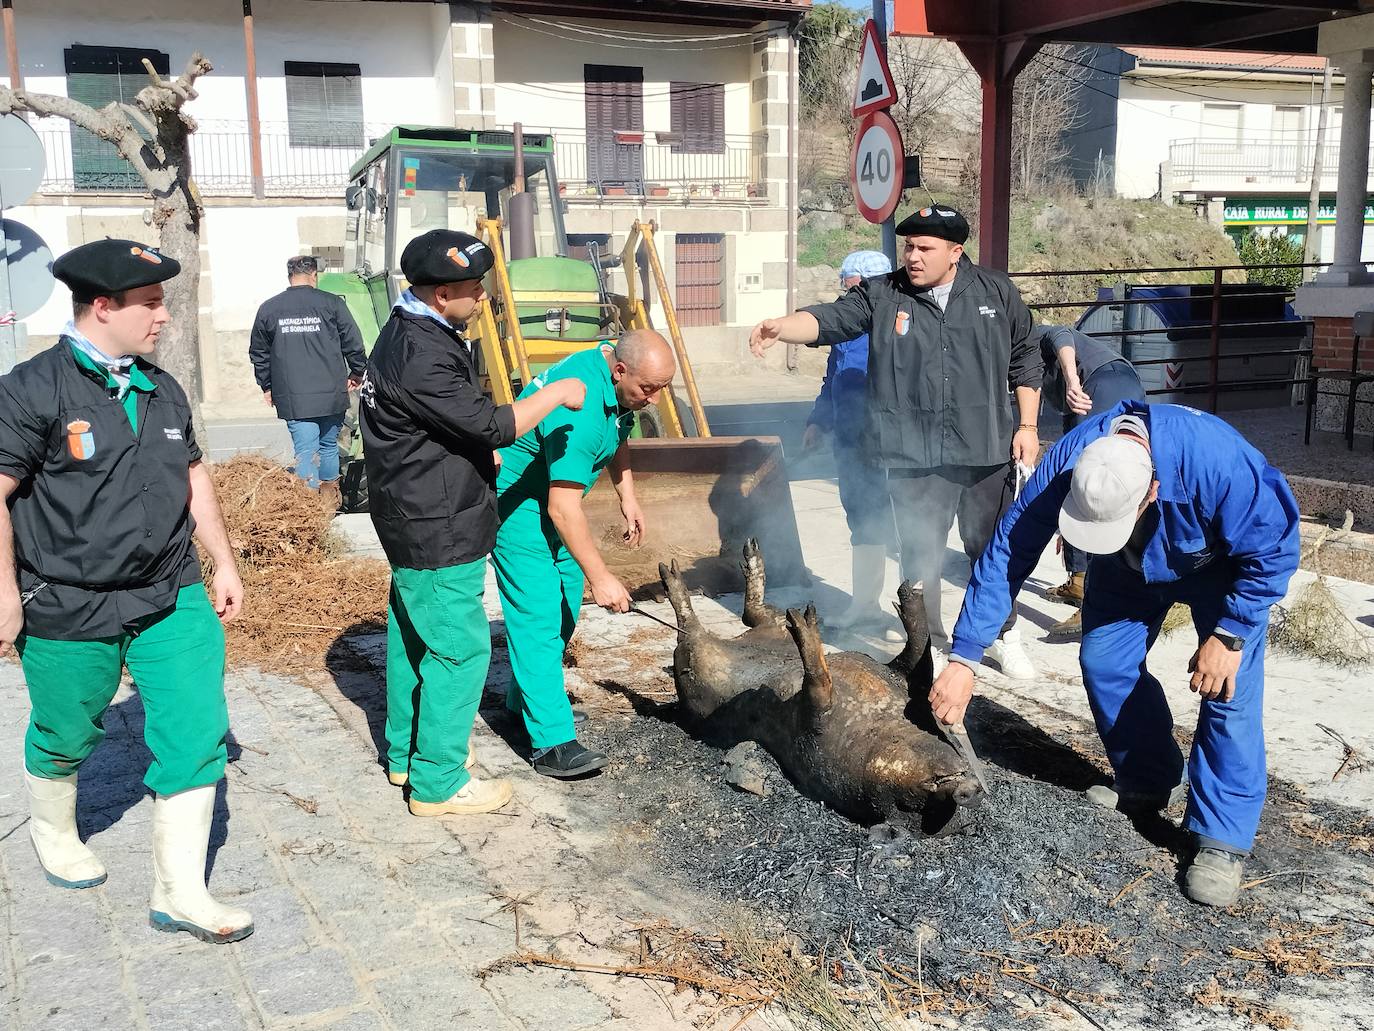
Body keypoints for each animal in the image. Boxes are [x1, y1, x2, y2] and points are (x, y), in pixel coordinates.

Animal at [659, 552, 983, 835]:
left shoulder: (815, 728)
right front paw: (911, 594)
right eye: (938, 783)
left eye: (931, 795)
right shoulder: (897, 679)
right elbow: (917, 656)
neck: (882, 728)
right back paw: (748, 566)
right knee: (756, 614)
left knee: (695, 630)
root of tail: (732, 640)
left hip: (697, 668)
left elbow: (819, 682)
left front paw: (808, 631)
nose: (971, 790)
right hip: (760, 633)